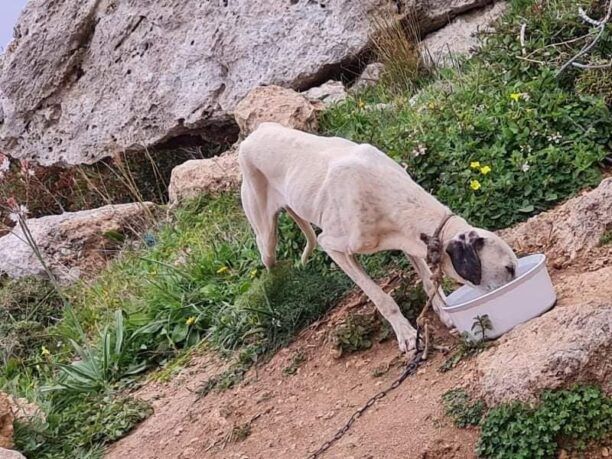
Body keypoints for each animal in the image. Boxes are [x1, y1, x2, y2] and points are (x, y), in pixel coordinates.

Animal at [239, 122, 516, 352]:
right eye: (509, 269)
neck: (384, 191)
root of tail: (254, 133)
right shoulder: (333, 247)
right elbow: (382, 298)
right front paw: (406, 335)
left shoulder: (410, 240)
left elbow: (429, 282)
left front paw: (444, 313)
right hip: (266, 240)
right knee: (269, 265)